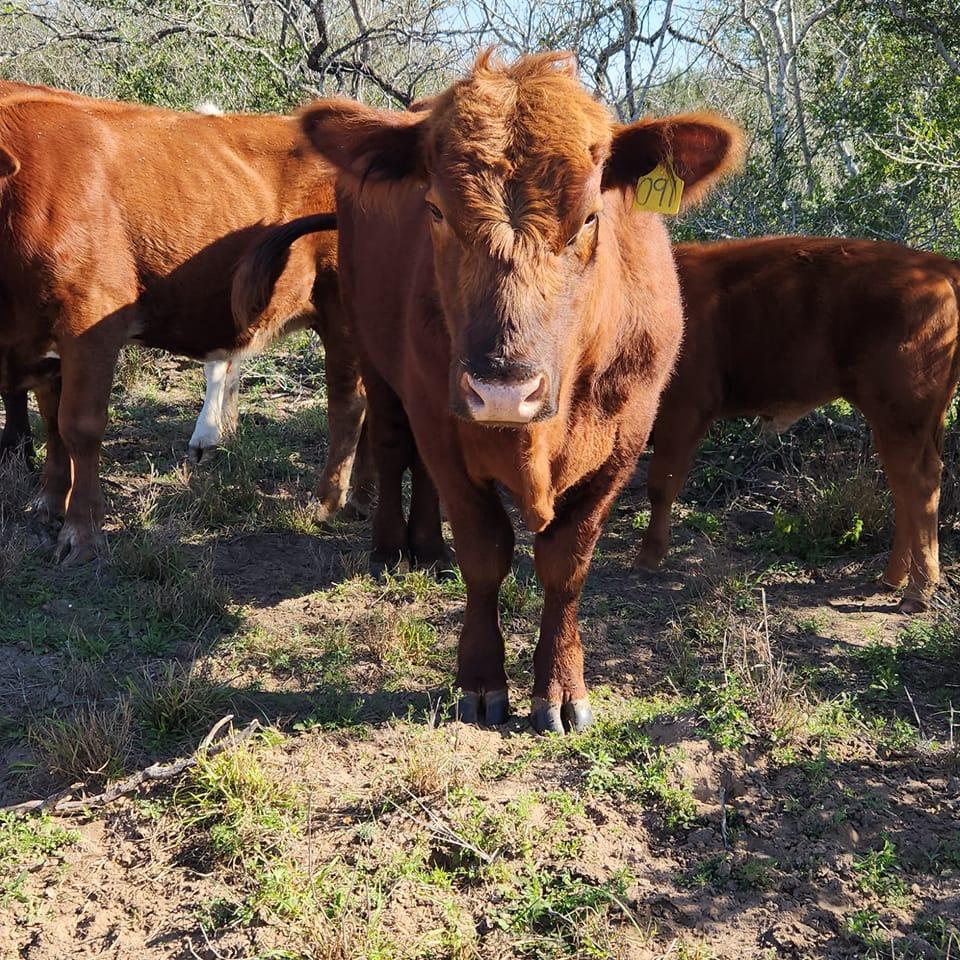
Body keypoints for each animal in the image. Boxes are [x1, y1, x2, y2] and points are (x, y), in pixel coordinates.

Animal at [0, 84, 368, 562]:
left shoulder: (90, 323)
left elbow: (78, 425)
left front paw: (82, 533)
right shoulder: (42, 342)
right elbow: (52, 425)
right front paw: (47, 505)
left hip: (342, 313)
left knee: (349, 405)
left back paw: (327, 503)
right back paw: (363, 498)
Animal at [236, 51, 743, 732]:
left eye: (589, 217)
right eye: (435, 211)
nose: (504, 391)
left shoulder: (624, 443)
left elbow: (566, 565)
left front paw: (560, 686)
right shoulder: (444, 423)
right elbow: (484, 552)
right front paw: (480, 680)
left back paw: (428, 545)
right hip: (378, 358)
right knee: (393, 448)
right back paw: (393, 546)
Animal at [635, 236, 960, 613]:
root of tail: (937, 265)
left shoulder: (682, 411)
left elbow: (661, 485)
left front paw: (648, 557)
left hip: (901, 416)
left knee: (920, 484)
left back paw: (917, 592)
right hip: (900, 423)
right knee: (903, 485)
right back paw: (893, 578)